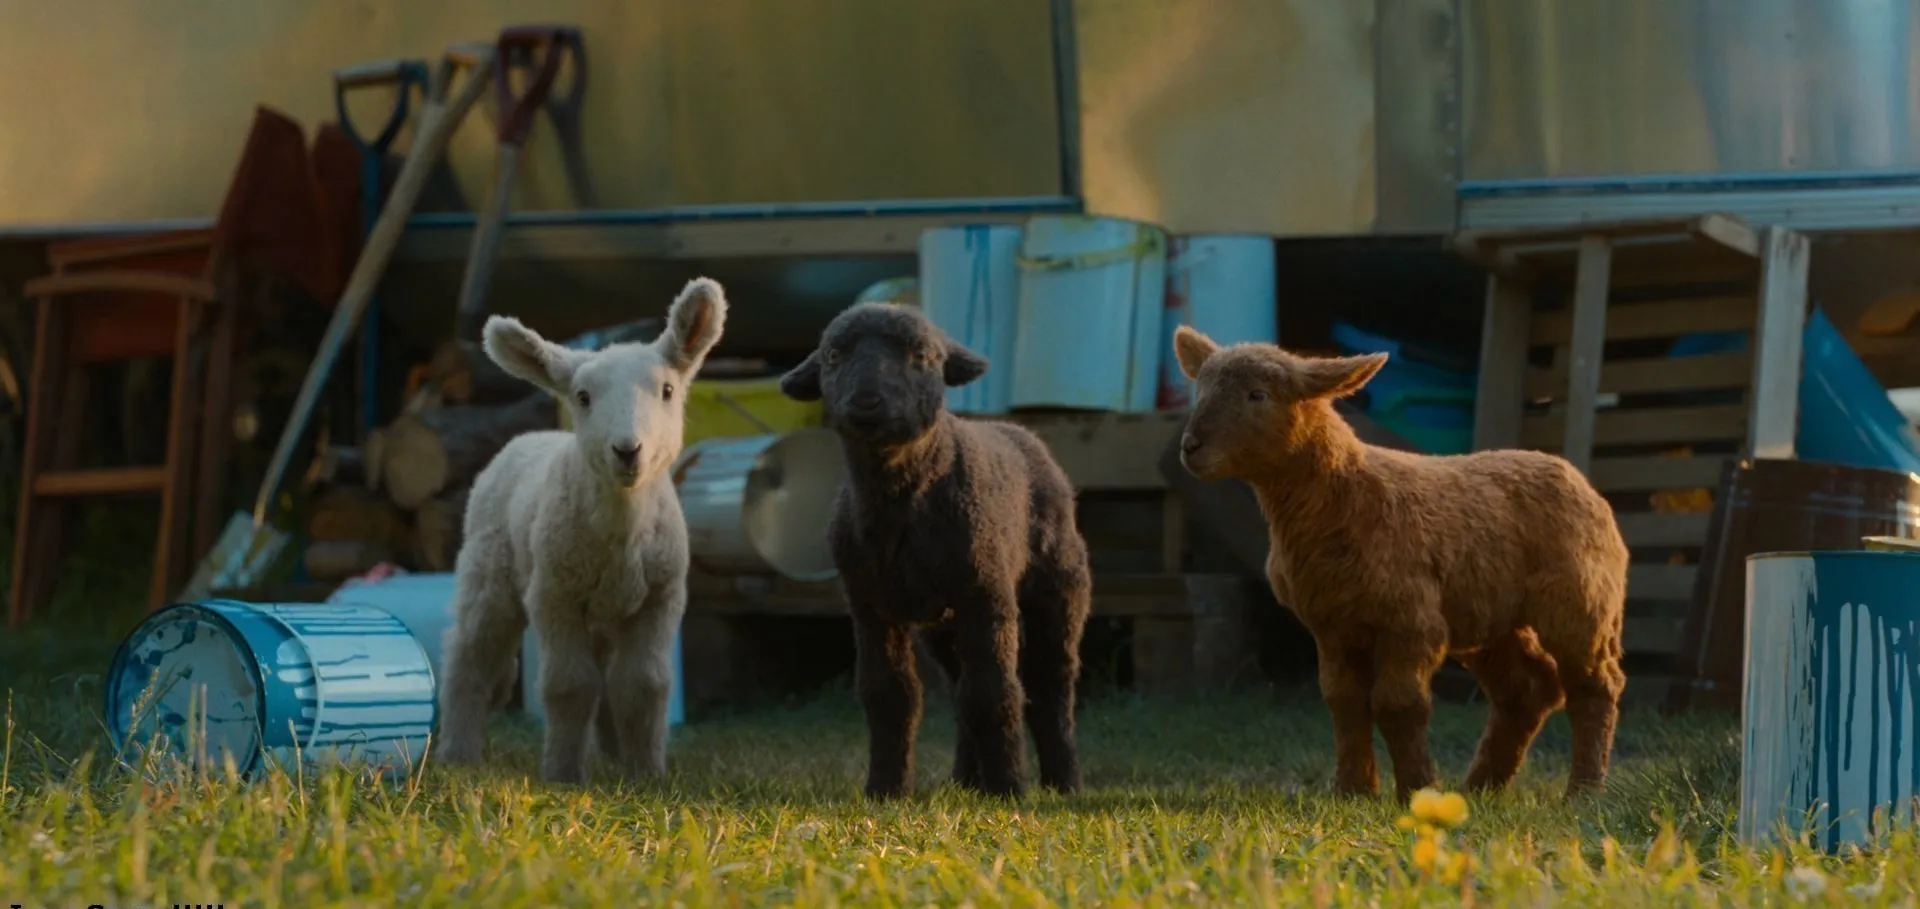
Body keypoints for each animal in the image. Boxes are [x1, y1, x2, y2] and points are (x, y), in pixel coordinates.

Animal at [433, 278, 728, 784]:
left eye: (668, 390)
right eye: (584, 397)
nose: (627, 450)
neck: (623, 532)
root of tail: (530, 437)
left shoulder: (660, 598)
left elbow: (642, 685)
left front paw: (646, 774)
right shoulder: (555, 594)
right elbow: (569, 685)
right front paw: (563, 775)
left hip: (604, 615)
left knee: (608, 676)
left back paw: (612, 752)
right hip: (490, 573)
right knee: (470, 652)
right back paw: (456, 753)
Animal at [778, 302, 1093, 799]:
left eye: (922, 356)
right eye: (832, 356)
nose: (866, 403)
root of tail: (1019, 432)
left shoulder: (985, 596)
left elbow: (995, 693)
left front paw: (1009, 789)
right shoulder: (869, 606)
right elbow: (890, 694)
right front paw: (885, 790)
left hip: (1059, 587)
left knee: (1050, 686)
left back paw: (1063, 782)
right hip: (942, 626)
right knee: (961, 691)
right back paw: (967, 781)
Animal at [1170, 325, 1628, 801]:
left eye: (1257, 395)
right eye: (1200, 388)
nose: (1191, 447)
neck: (1341, 497)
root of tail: (1580, 481)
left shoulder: (1410, 620)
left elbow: (1397, 704)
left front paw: (1416, 790)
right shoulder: (1332, 625)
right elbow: (1345, 703)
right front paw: (1352, 791)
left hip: (1579, 602)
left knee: (1594, 687)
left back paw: (1583, 791)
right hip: (1491, 617)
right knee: (1528, 689)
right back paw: (1480, 789)